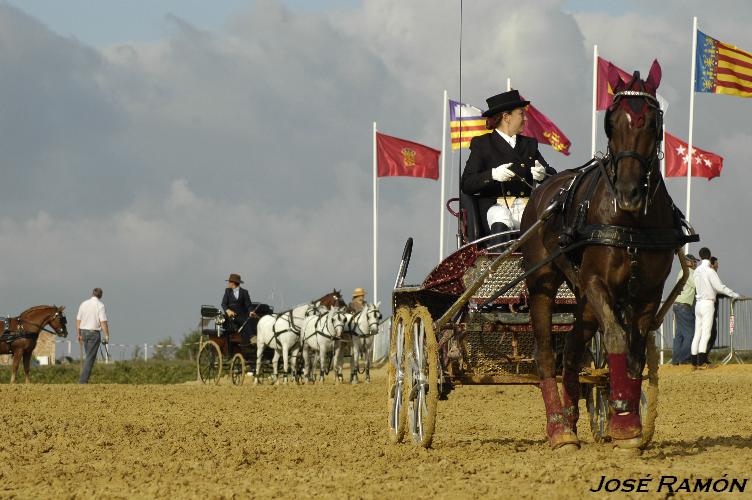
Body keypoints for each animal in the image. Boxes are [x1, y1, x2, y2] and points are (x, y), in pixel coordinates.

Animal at [524, 60, 688, 452]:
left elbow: (635, 353)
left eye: (654, 121)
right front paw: (625, 421)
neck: (630, 221)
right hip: (543, 283)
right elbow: (615, 338)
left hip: (582, 298)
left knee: (572, 350)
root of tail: (542, 194)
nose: (628, 192)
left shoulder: (648, 293)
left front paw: (625, 418)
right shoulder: (597, 282)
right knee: (546, 354)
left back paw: (571, 418)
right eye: (611, 122)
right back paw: (558, 429)